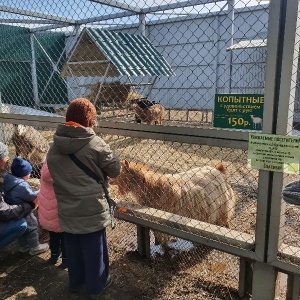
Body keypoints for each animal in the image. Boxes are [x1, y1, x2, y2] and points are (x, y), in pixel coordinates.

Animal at [108, 159, 237, 248]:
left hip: (224, 206)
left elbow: (162, 235)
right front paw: (159, 243)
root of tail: (218, 169)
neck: (152, 187)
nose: (108, 180)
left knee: (226, 220)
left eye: (119, 171)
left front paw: (164, 245)